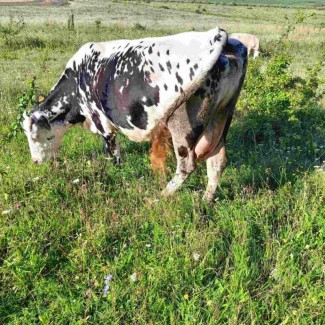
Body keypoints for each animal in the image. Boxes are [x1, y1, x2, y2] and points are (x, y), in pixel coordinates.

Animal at [22, 27, 246, 200]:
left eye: (35, 137)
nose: (35, 161)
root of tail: (218, 36)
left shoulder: (101, 122)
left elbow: (113, 154)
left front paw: (117, 174)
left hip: (182, 123)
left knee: (186, 165)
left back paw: (162, 196)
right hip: (221, 117)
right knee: (217, 161)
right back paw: (206, 199)